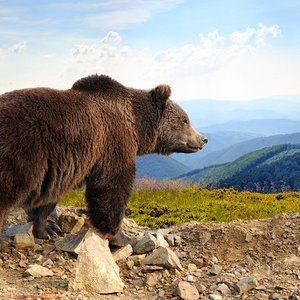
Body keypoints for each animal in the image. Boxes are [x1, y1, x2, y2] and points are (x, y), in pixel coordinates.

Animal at [0, 74, 207, 246]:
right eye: (185, 120)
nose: (203, 139)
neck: (138, 125)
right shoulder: (113, 142)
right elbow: (111, 186)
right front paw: (123, 238)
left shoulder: (59, 167)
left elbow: (49, 196)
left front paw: (48, 228)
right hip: (18, 154)